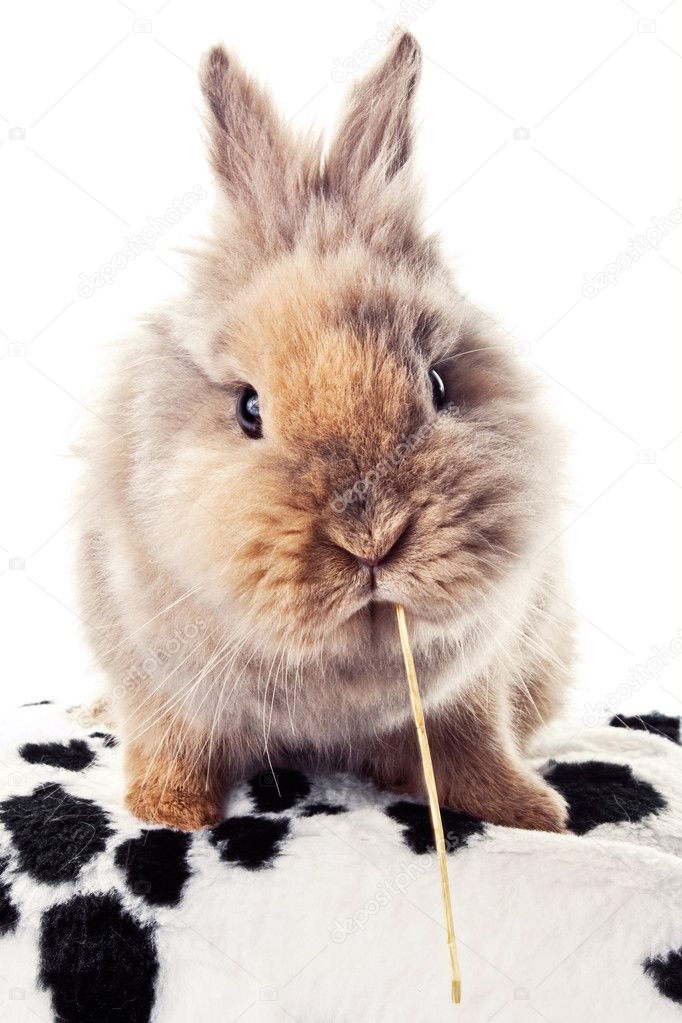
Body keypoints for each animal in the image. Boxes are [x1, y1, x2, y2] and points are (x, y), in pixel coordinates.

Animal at [76, 32, 574, 833]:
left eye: (438, 384)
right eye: (249, 408)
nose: (371, 537)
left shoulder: (473, 689)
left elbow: (470, 750)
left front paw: (532, 812)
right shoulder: (158, 685)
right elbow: (174, 743)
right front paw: (170, 812)